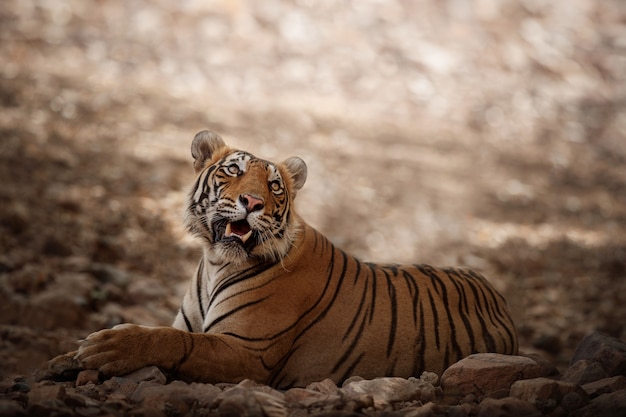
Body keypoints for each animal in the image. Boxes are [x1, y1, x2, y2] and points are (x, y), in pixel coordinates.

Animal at [72, 129, 516, 386]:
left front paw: (110, 346)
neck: (216, 262)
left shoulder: (247, 352)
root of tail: (497, 295)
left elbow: (174, 339)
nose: (252, 202)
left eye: (274, 187)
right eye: (232, 171)